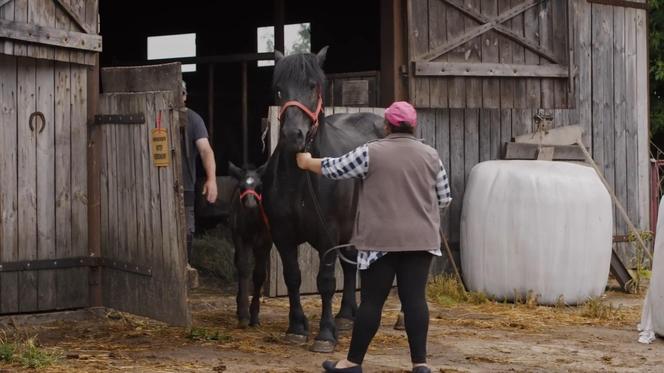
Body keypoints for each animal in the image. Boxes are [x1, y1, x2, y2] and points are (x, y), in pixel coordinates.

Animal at [227, 161, 272, 326]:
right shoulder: (242, 237)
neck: (253, 221)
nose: (251, 204)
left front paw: (254, 316)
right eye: (241, 186)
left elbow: (259, 274)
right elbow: (244, 267)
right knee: (239, 264)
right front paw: (244, 314)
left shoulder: (265, 242)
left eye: (260, 186)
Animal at [260, 47, 384, 352]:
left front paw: (325, 334)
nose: (293, 135)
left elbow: (326, 282)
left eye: (313, 86)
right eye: (278, 89)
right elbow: (293, 277)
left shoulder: (327, 236)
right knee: (351, 264)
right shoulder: (283, 236)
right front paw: (296, 328)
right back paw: (346, 316)